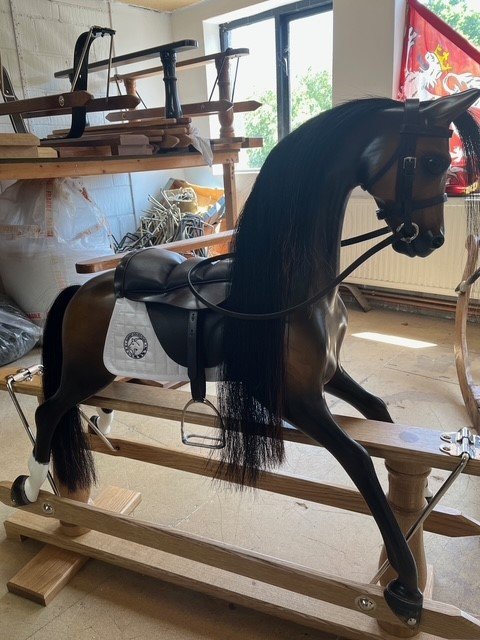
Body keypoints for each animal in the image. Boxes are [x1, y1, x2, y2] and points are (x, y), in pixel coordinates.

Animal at [10, 89, 480, 629]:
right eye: (432, 161)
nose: (431, 240)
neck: (295, 291)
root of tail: (82, 289)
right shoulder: (295, 400)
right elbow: (360, 461)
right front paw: (405, 584)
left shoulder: (329, 376)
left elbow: (380, 414)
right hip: (81, 373)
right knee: (50, 410)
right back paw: (31, 486)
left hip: (98, 371)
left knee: (84, 404)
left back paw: (100, 426)